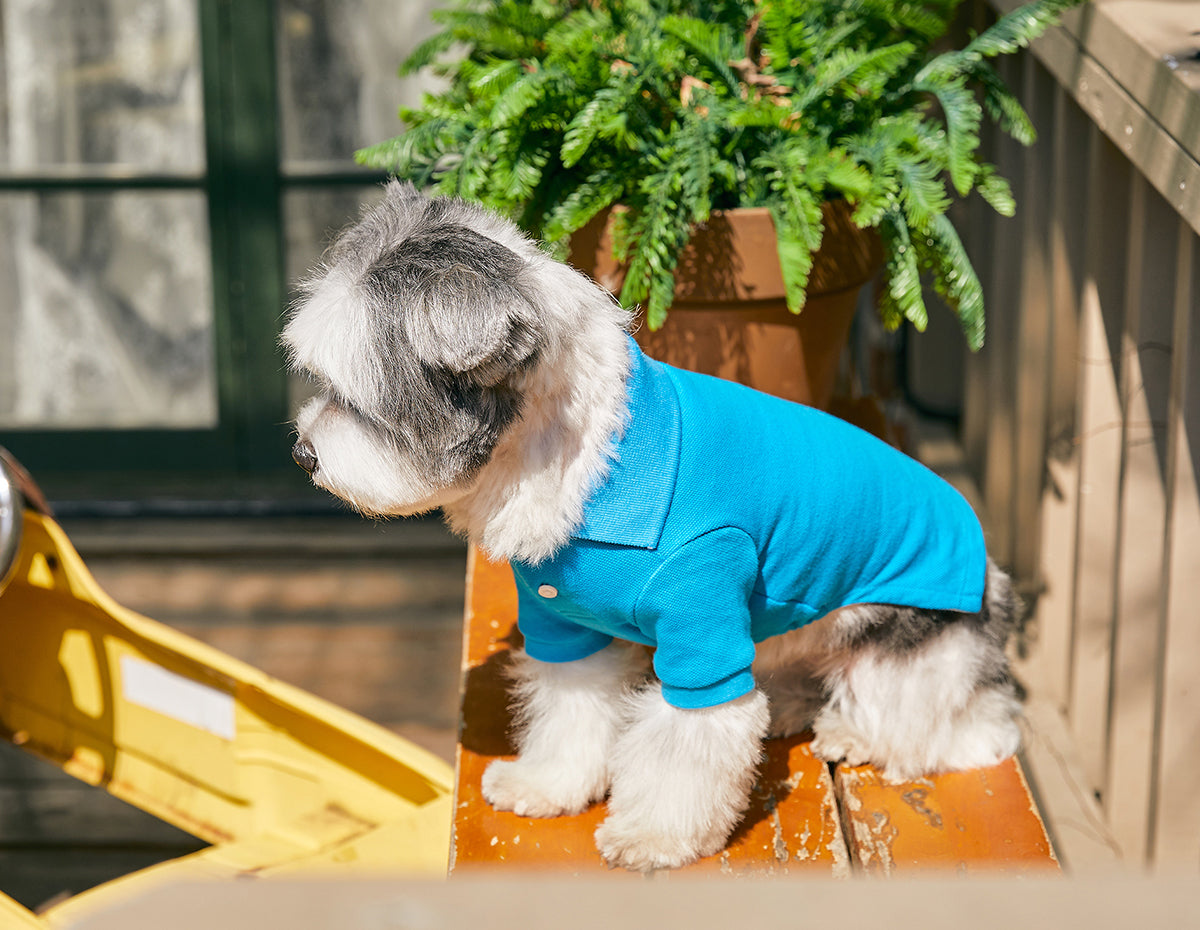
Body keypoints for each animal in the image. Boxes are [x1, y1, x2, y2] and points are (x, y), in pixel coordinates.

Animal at [280, 182, 1022, 873]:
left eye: (359, 401)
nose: (303, 455)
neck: (578, 466)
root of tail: (992, 582)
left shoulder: (703, 629)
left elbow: (685, 746)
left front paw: (654, 836)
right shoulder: (566, 625)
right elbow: (572, 713)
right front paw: (549, 784)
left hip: (910, 650)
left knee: (954, 733)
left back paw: (856, 733)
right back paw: (790, 705)